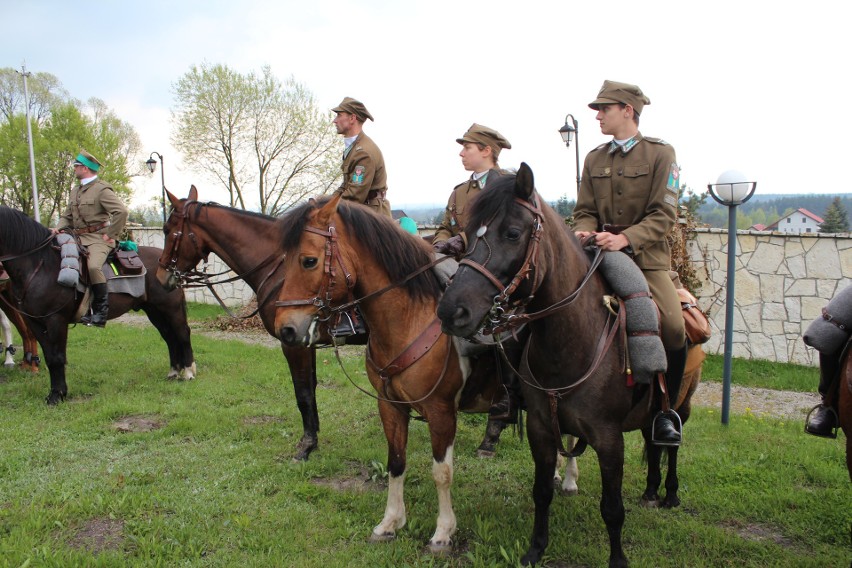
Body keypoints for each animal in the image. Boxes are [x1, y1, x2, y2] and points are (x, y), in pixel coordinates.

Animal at [0, 206, 195, 402]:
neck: (40, 265)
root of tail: (170, 267)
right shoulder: (35, 322)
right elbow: (49, 356)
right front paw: (55, 393)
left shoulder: (56, 320)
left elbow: (57, 357)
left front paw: (58, 395)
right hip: (154, 311)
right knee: (169, 336)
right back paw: (173, 372)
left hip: (171, 309)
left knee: (182, 334)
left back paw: (188, 372)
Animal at [157, 186, 520, 462]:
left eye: (167, 230)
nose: (161, 276)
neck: (278, 268)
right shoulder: (305, 340)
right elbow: (310, 389)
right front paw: (313, 438)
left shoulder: (293, 342)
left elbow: (303, 392)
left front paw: (306, 446)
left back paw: (491, 437)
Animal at [276, 194, 524, 552]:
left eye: (309, 261)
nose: (286, 329)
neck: (410, 320)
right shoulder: (390, 406)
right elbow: (396, 462)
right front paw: (390, 523)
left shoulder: (441, 412)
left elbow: (442, 472)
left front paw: (443, 532)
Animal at [436, 163, 704, 564]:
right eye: (467, 235)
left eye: (512, 233)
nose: (452, 311)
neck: (573, 342)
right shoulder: (542, 429)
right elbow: (541, 491)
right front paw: (535, 549)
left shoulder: (609, 439)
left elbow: (612, 508)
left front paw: (617, 559)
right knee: (651, 439)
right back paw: (651, 490)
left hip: (681, 403)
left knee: (669, 443)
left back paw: (669, 491)